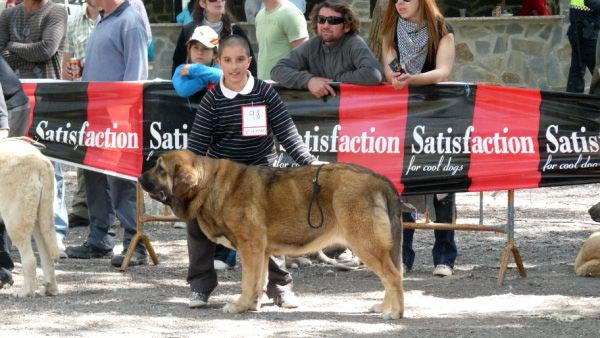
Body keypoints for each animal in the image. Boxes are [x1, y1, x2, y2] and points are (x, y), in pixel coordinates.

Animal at [0, 139, 58, 298]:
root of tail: (41, 162)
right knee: (47, 254)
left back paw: (25, 292)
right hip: (40, 216)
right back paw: (50, 288)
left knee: (30, 260)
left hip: (15, 218)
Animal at [140, 151, 404, 320]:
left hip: (365, 243)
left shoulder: (250, 247)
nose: (140, 178)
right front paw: (252, 304)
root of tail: (380, 180)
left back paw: (395, 312)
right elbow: (259, 280)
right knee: (390, 277)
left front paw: (239, 305)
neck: (210, 184)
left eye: (160, 169)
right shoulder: (261, 251)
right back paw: (383, 307)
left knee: (392, 276)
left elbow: (248, 280)